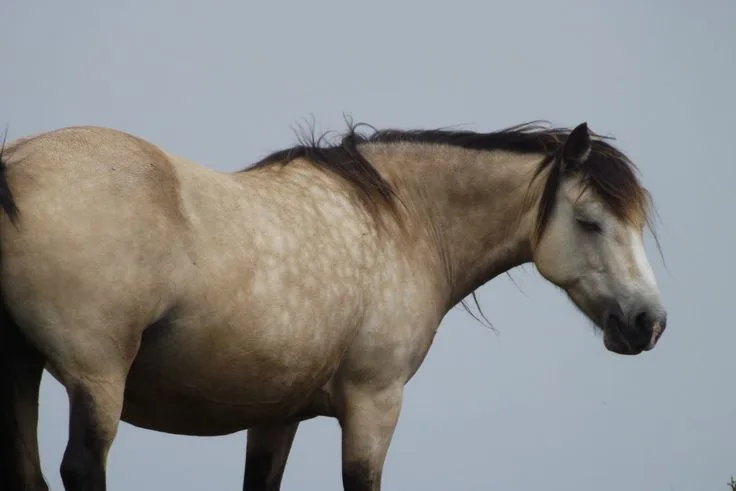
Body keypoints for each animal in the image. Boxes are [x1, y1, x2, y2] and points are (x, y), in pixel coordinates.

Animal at [0, 119, 667, 491]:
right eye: (589, 221)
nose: (649, 323)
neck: (401, 220)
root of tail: (16, 165)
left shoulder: (275, 416)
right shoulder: (374, 405)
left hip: (22, 375)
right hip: (97, 380)